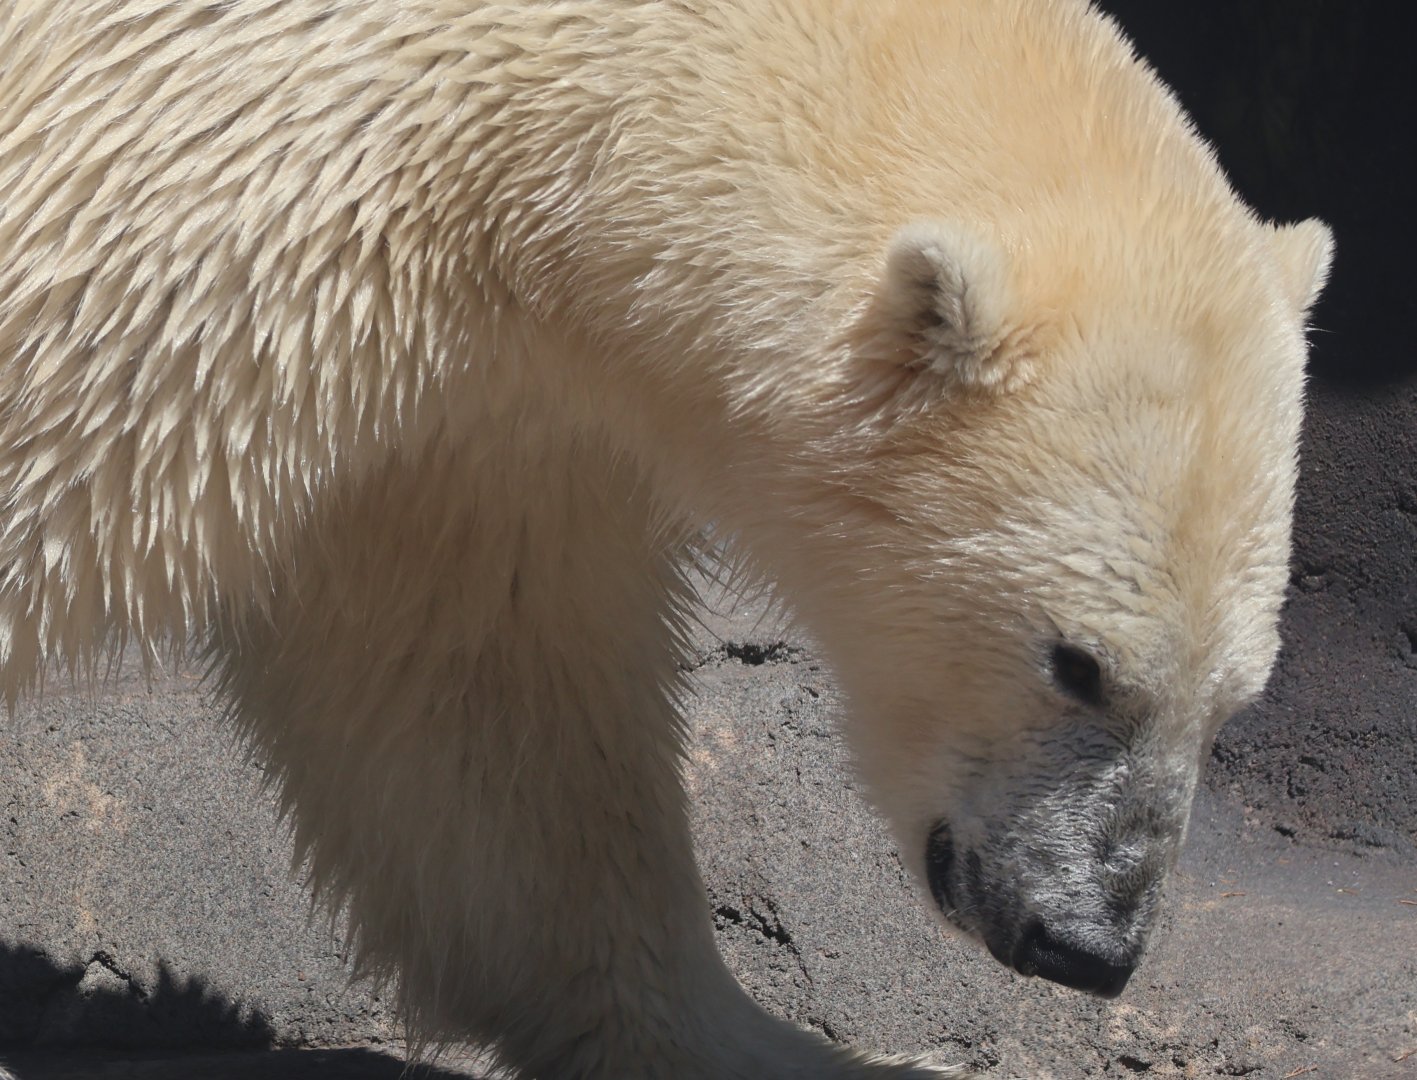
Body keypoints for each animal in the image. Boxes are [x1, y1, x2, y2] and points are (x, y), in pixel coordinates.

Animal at [0, 1, 1332, 1077]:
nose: (1088, 947)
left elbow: (481, 706)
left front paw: (776, 1045)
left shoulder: (469, 401)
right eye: (1077, 662)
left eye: (1237, 698)